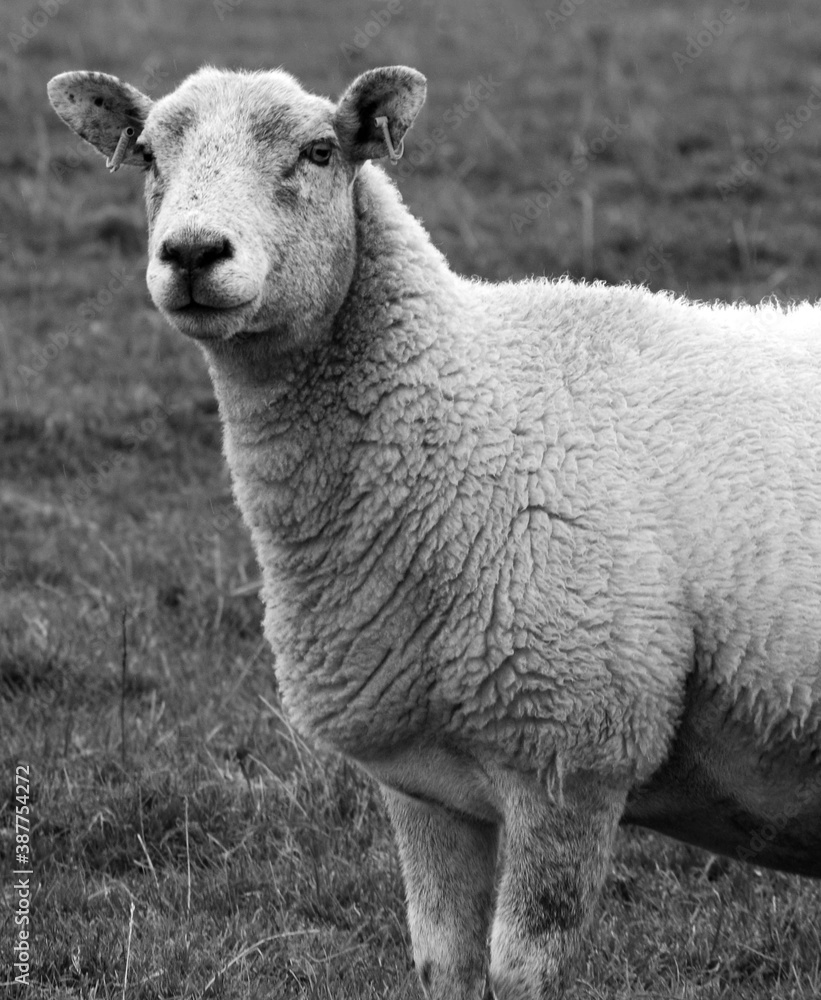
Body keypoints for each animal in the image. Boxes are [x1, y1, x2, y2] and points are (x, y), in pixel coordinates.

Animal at [48, 63, 821, 999]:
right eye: (150, 155)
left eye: (319, 151)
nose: (192, 253)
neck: (463, 402)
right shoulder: (425, 785)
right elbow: (442, 963)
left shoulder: (571, 757)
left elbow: (522, 971)